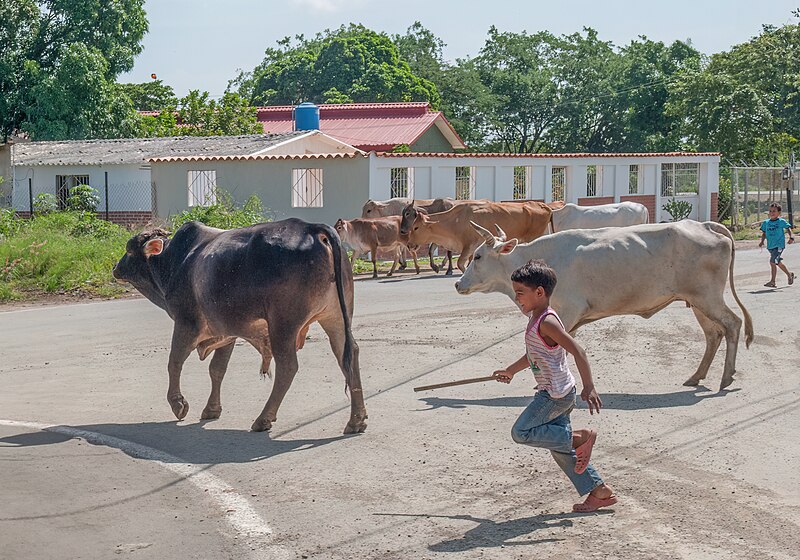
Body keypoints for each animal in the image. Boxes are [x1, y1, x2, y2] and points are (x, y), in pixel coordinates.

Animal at [112, 219, 368, 434]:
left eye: (129, 249)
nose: (115, 268)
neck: (175, 261)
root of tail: (312, 228)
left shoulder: (186, 323)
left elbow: (174, 361)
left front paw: (178, 404)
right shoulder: (227, 332)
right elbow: (217, 369)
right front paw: (211, 409)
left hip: (283, 325)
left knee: (288, 367)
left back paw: (264, 418)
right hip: (336, 318)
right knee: (349, 355)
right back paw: (356, 419)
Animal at [398, 201, 552, 274]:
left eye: (416, 227)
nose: (409, 244)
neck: (456, 220)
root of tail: (545, 206)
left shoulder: (469, 246)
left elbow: (461, 263)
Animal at [456, 220, 756, 390]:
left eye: (478, 256)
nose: (458, 283)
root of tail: (705, 225)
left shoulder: (567, 311)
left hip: (707, 297)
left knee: (732, 324)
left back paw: (726, 377)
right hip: (696, 301)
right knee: (713, 334)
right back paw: (697, 376)